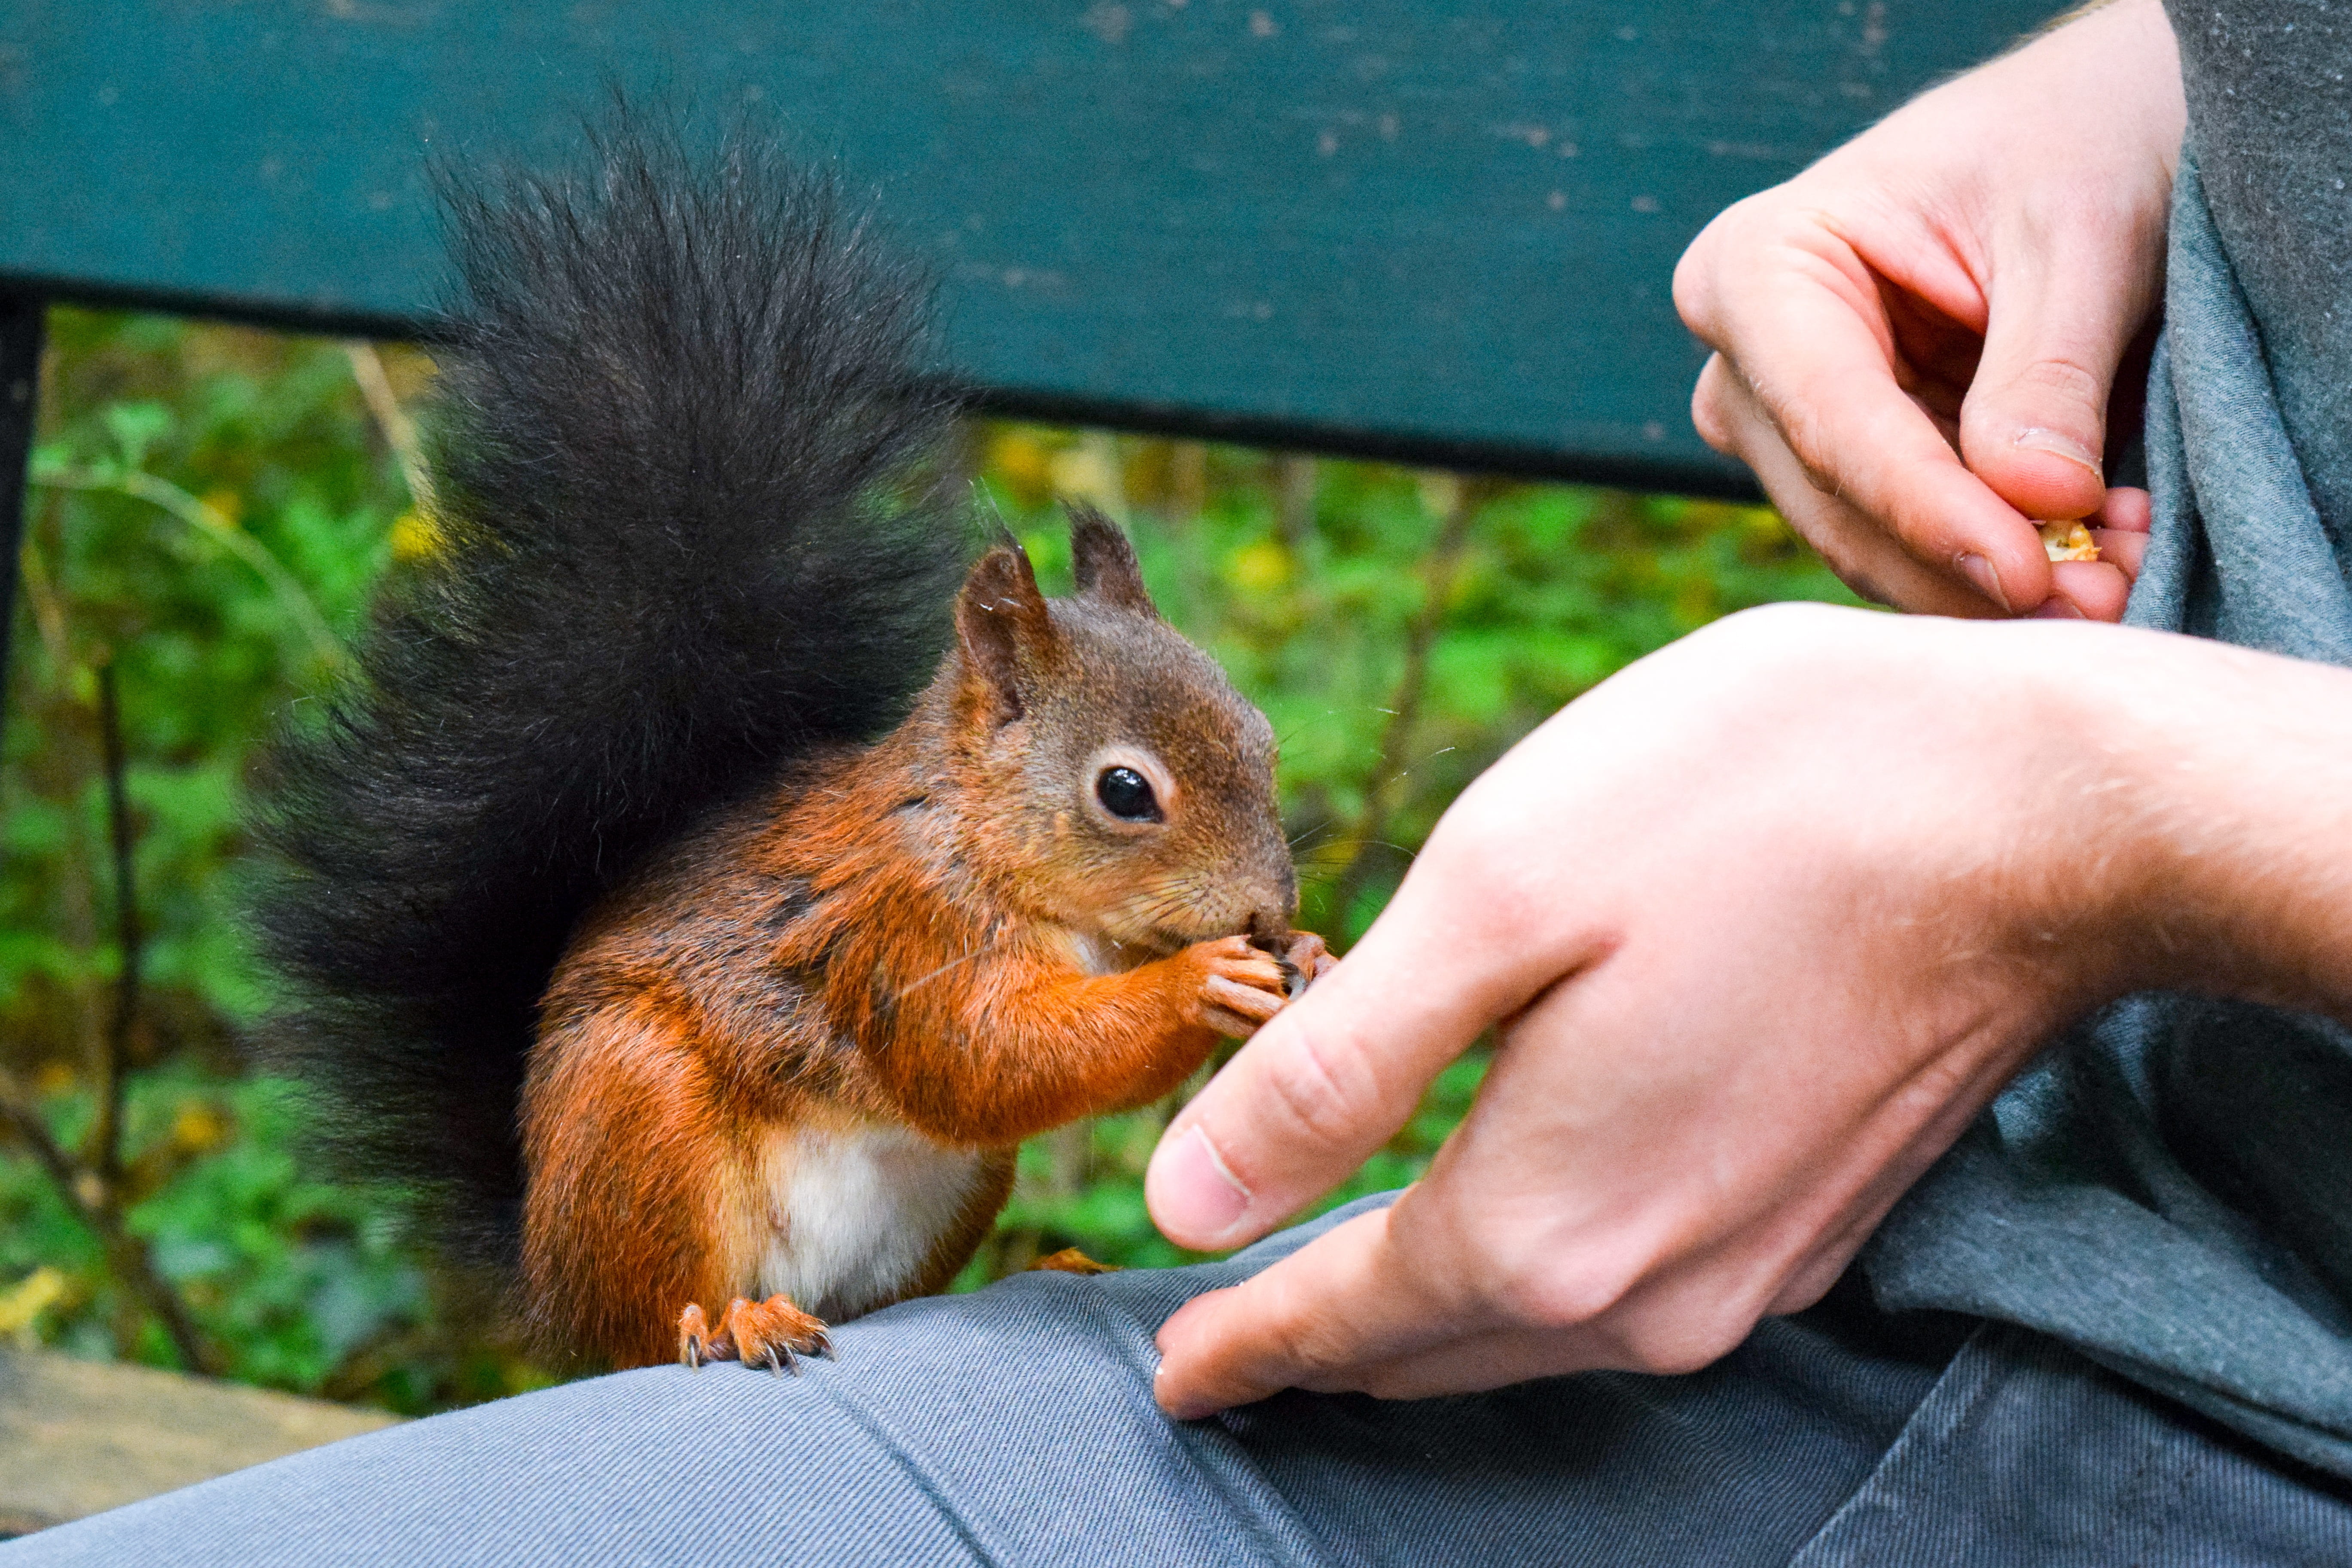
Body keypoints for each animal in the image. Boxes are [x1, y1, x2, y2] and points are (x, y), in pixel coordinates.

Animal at [248, 121, 1333, 1372]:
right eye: (1123, 790)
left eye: (1260, 734)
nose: (1265, 904)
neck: (995, 854)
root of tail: (546, 1278)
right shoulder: (900, 934)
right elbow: (991, 1058)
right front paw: (1202, 979)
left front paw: (1307, 956)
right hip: (639, 1113)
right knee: (652, 1322)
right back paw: (730, 1319)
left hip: (945, 1195)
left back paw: (1040, 1266)